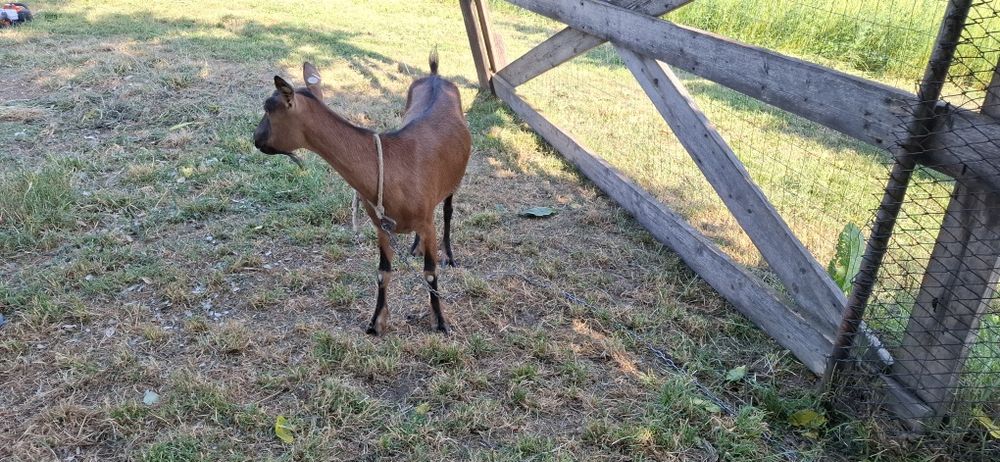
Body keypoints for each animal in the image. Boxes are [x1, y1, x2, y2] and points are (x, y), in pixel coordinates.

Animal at [253, 51, 472, 335]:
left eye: (268, 108)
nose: (255, 139)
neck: (390, 165)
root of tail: (435, 75)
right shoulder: (382, 225)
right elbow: (382, 272)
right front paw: (376, 322)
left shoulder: (425, 221)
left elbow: (430, 272)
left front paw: (441, 322)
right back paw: (415, 246)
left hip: (453, 181)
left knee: (447, 211)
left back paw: (449, 255)